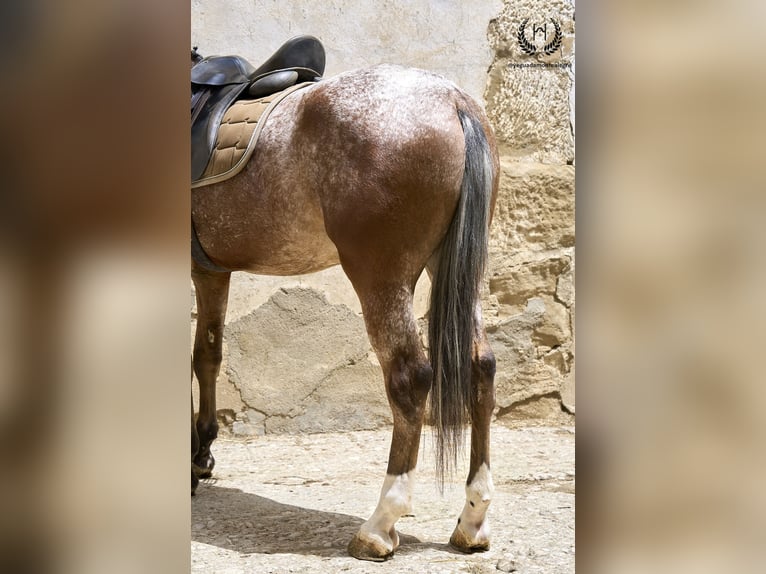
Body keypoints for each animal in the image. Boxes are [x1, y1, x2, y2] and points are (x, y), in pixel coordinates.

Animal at [191, 37, 500, 564]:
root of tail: (453, 101)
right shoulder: (212, 269)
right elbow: (208, 355)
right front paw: (201, 457)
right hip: (459, 269)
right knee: (480, 365)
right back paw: (472, 519)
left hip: (380, 275)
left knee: (410, 378)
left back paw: (379, 525)